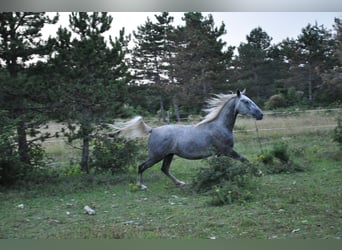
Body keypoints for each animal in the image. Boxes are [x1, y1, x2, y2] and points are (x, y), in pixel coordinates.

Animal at [114, 90, 262, 189]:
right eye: (245, 101)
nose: (260, 114)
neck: (219, 126)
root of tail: (153, 130)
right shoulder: (228, 151)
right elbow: (244, 160)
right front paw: (259, 173)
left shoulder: (220, 154)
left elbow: (223, 166)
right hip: (156, 155)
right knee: (142, 166)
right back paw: (142, 186)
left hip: (168, 155)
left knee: (164, 169)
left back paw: (180, 183)